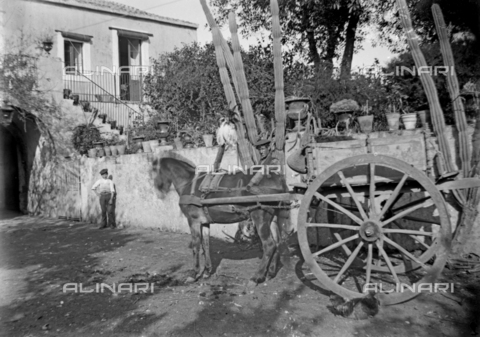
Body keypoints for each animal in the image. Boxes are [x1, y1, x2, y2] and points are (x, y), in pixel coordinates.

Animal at [152, 154, 290, 284]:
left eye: (154, 170)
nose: (158, 191)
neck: (189, 182)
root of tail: (275, 177)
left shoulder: (193, 221)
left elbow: (196, 247)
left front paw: (195, 274)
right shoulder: (205, 222)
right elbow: (206, 245)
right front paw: (207, 271)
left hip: (260, 217)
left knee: (269, 245)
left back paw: (257, 277)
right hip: (272, 218)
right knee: (277, 243)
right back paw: (270, 272)